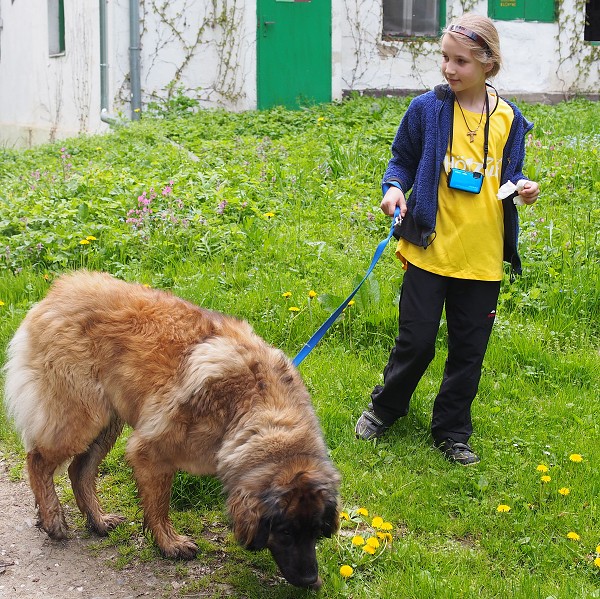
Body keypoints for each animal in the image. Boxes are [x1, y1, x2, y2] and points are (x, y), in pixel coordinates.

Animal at [3, 274, 342, 592]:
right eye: (284, 532)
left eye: (316, 532)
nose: (310, 579)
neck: (251, 404)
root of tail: (62, 287)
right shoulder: (151, 451)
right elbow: (159, 505)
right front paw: (169, 543)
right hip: (82, 417)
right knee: (37, 460)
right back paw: (53, 520)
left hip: (107, 421)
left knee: (79, 470)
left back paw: (97, 520)